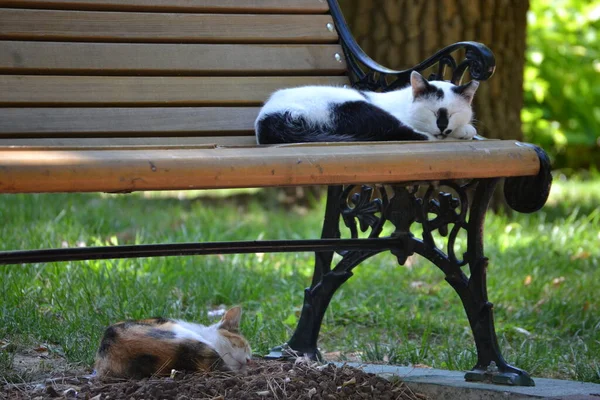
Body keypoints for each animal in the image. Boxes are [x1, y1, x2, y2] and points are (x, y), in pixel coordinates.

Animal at [255, 71, 480, 145]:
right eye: (433, 112)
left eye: (454, 113)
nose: (442, 126)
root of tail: (267, 120)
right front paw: (462, 132)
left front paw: (462, 129)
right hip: (358, 108)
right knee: (402, 132)